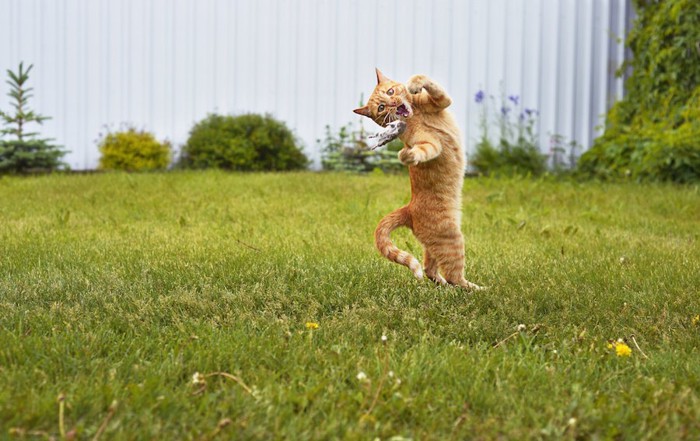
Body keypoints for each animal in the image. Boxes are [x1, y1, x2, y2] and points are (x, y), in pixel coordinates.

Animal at [356, 68, 482, 288]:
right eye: (381, 108)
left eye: (390, 92)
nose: (392, 103)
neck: (416, 115)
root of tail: (409, 209)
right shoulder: (429, 144)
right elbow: (421, 150)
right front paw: (407, 156)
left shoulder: (442, 100)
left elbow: (425, 79)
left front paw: (413, 85)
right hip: (451, 239)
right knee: (453, 277)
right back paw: (478, 288)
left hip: (435, 244)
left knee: (430, 269)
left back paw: (441, 286)